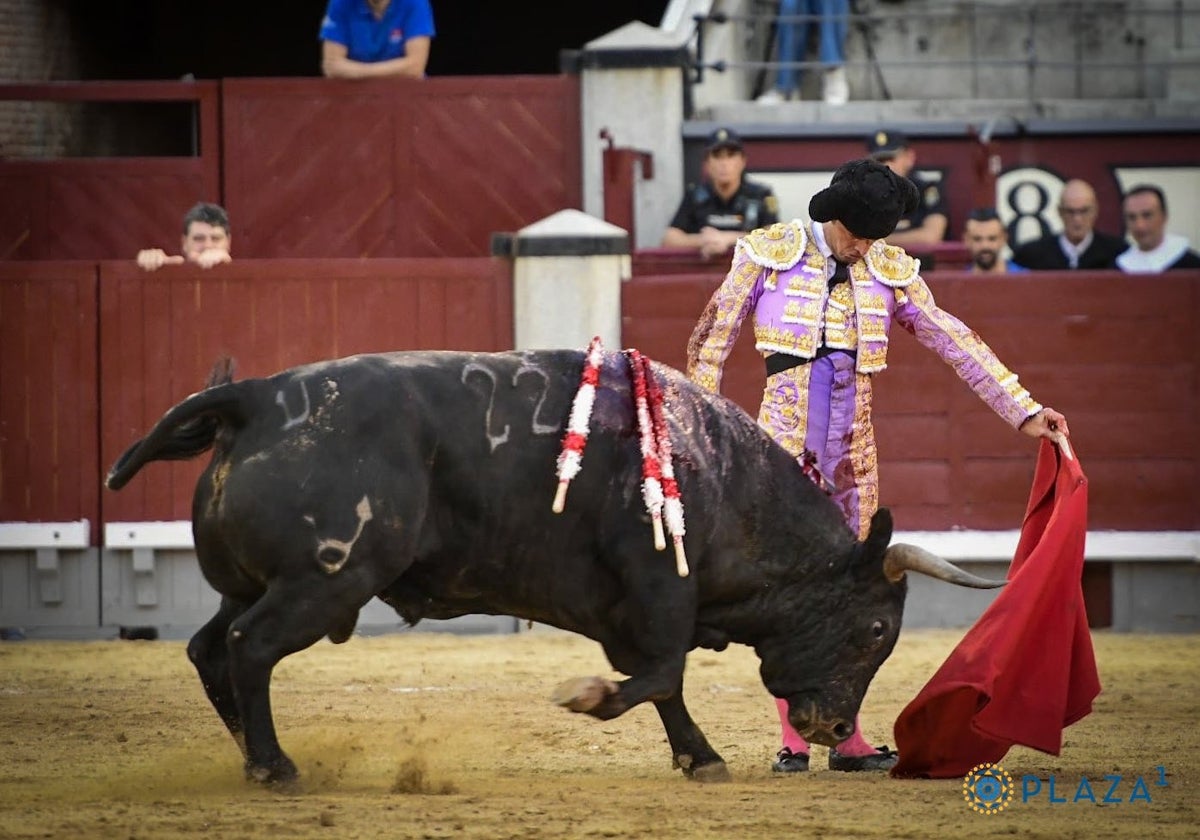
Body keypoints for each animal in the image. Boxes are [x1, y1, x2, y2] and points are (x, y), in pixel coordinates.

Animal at [108, 350, 998, 787]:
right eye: (876, 629)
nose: (837, 731)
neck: (721, 475)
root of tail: (255, 397)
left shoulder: (626, 612)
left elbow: (665, 685)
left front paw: (700, 759)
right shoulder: (660, 589)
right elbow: (661, 673)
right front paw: (589, 698)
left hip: (256, 584)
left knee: (211, 648)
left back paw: (249, 756)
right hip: (323, 581)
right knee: (250, 648)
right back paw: (275, 765)